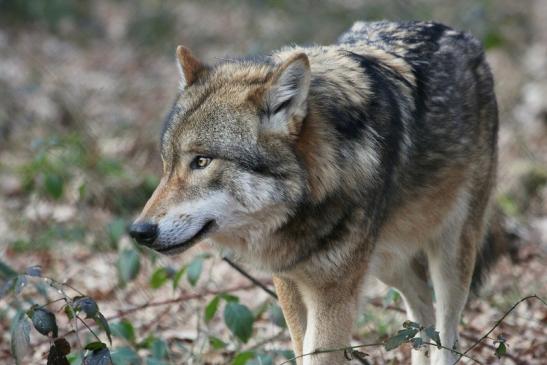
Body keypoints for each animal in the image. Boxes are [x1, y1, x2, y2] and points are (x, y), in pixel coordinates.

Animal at [131, 20, 498, 364]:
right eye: (166, 164)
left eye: (202, 161)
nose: (139, 231)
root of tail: (464, 37)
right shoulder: (289, 284)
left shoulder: (334, 295)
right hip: (386, 262)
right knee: (421, 312)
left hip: (450, 253)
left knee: (446, 331)